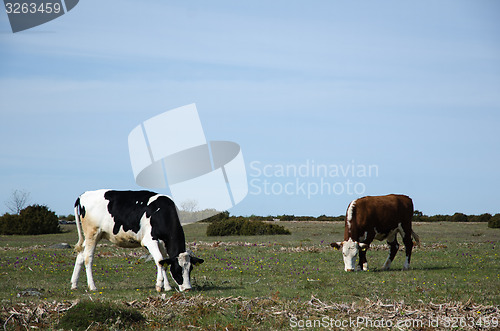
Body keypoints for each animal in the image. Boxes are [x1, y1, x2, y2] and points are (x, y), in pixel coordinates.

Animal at [70, 189, 203, 294]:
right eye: (178, 270)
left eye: (190, 268)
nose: (188, 289)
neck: (162, 212)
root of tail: (84, 194)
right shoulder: (150, 241)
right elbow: (160, 261)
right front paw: (159, 286)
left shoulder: (163, 244)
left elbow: (164, 262)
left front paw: (167, 287)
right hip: (92, 234)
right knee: (88, 257)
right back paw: (92, 286)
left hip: (91, 236)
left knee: (81, 254)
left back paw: (74, 284)